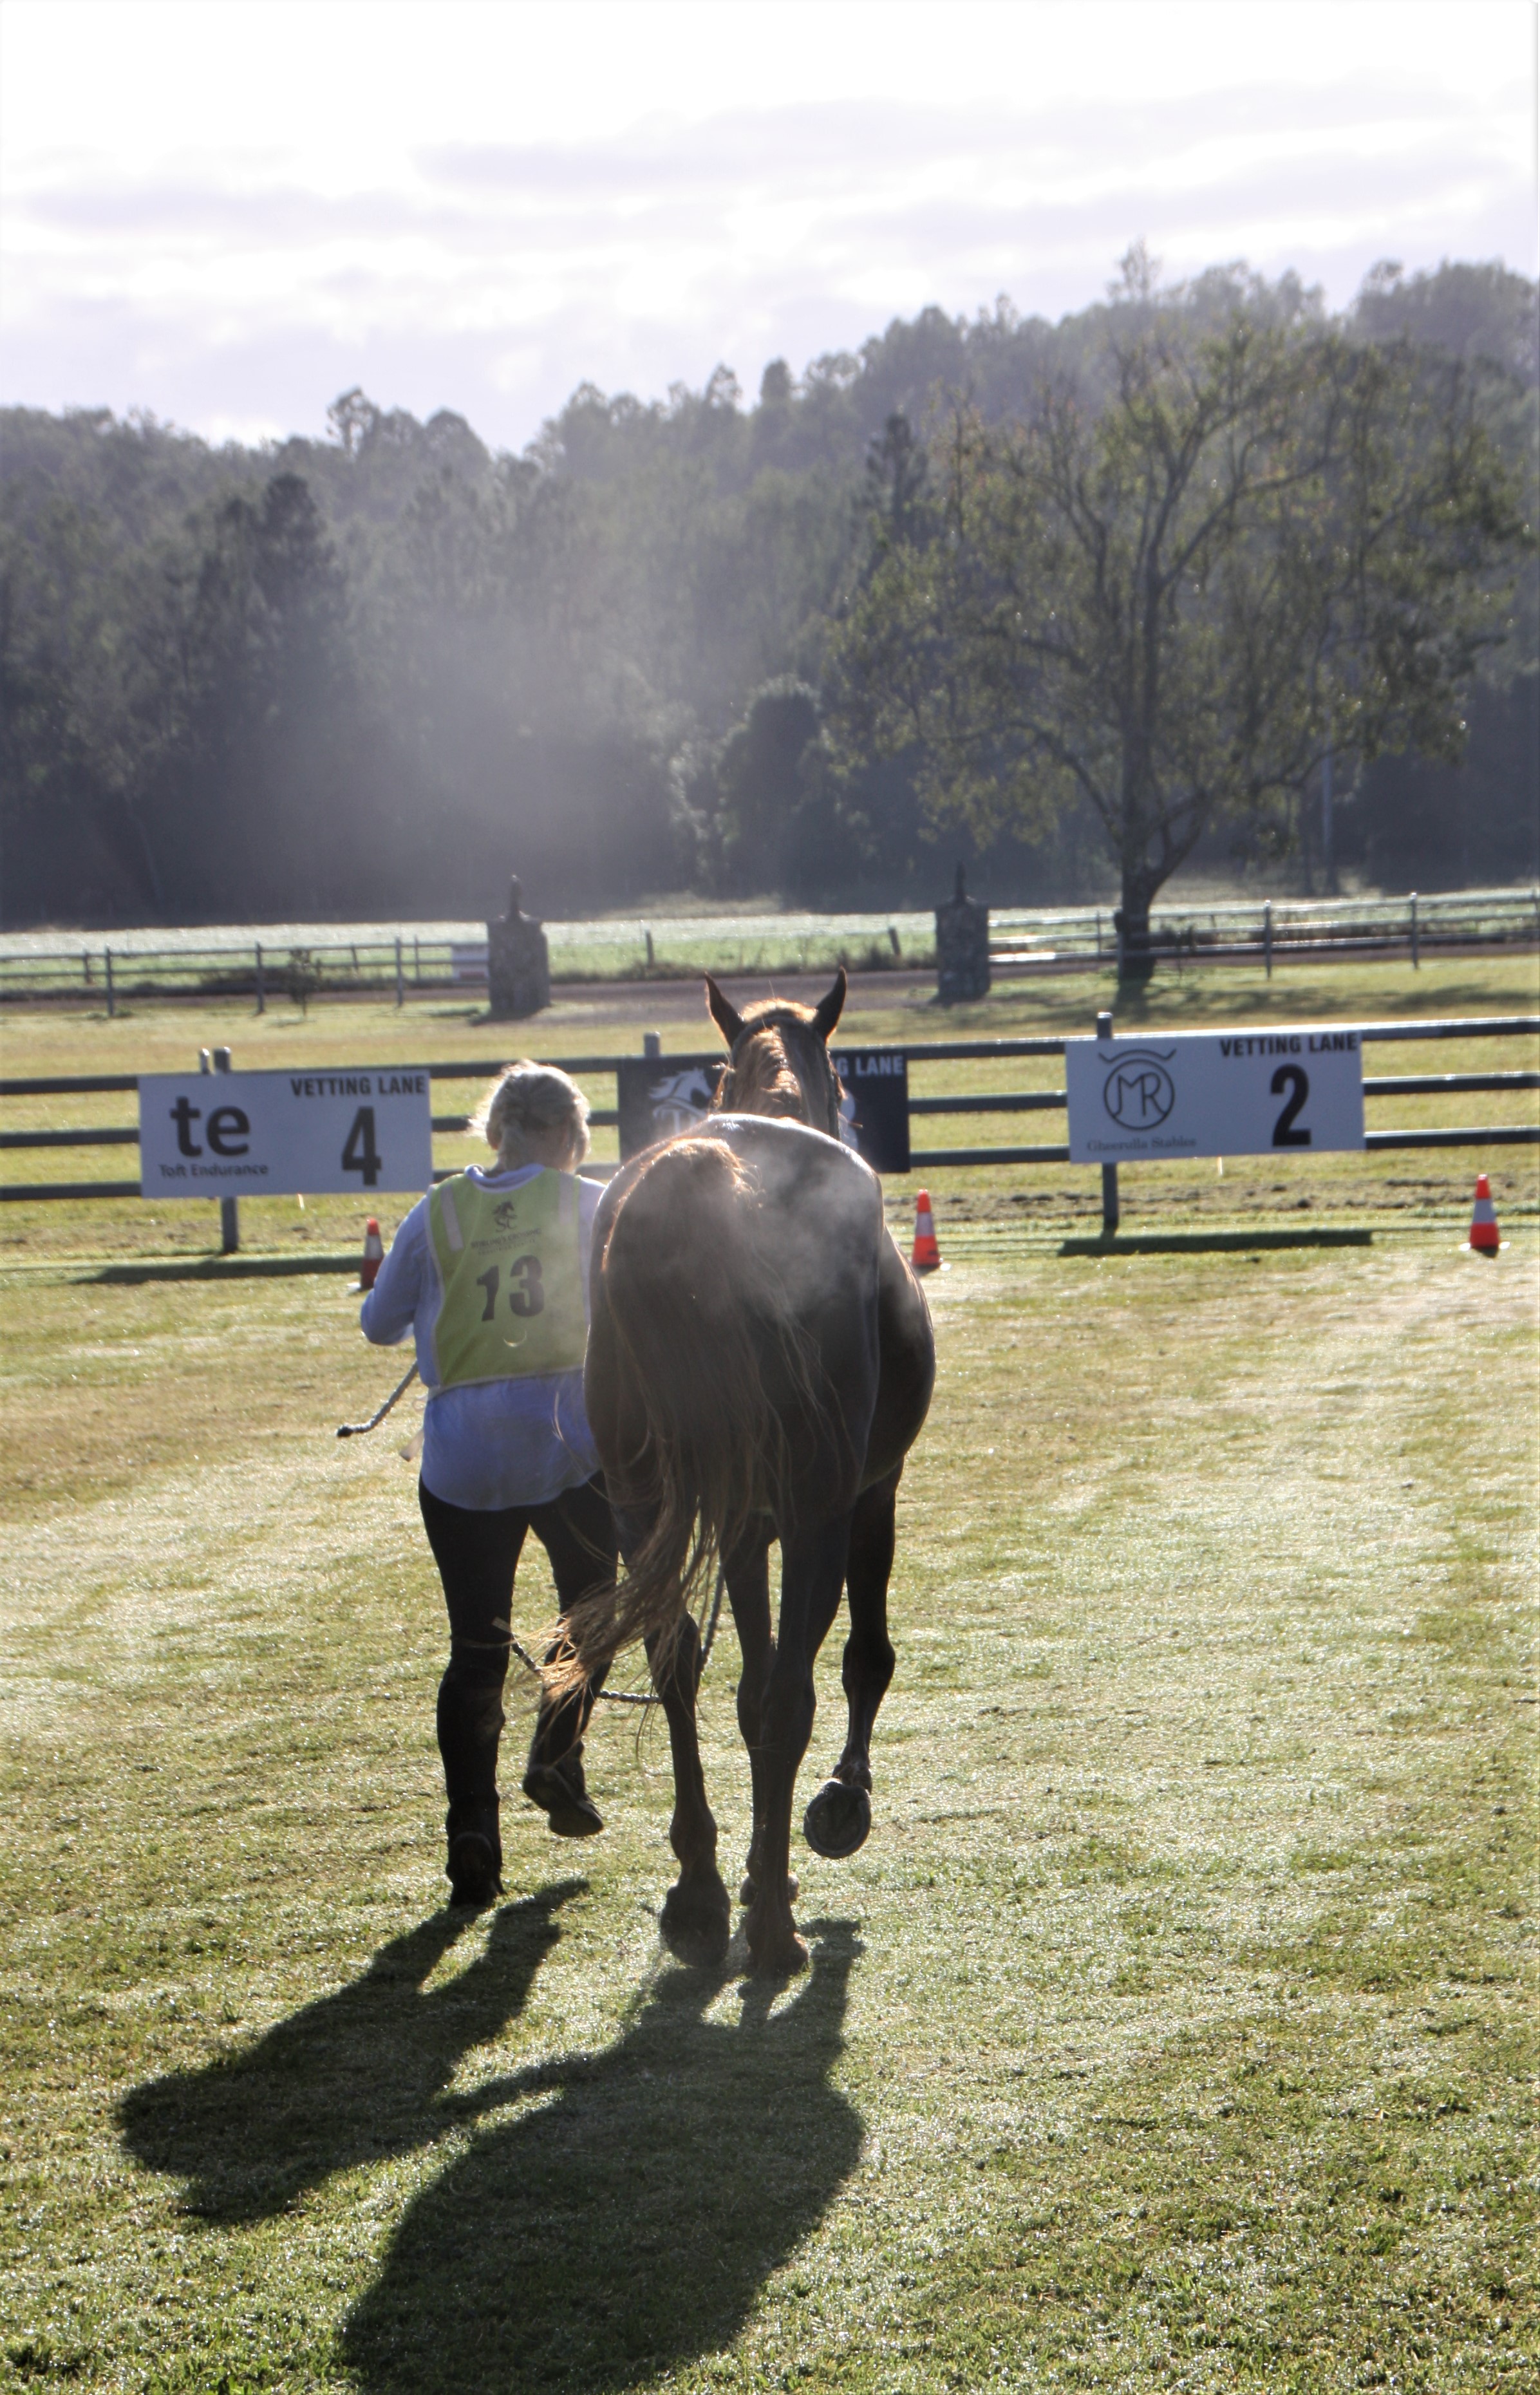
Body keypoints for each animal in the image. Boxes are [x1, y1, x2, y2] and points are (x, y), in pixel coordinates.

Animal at [555, 968, 935, 1976]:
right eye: (843, 1083)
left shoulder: (739, 1525)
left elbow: (742, 1681)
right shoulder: (864, 1498)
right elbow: (853, 1660)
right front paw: (838, 1807)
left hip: (643, 1497)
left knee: (675, 1658)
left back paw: (700, 1889)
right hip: (818, 1509)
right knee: (791, 1696)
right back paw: (768, 1926)